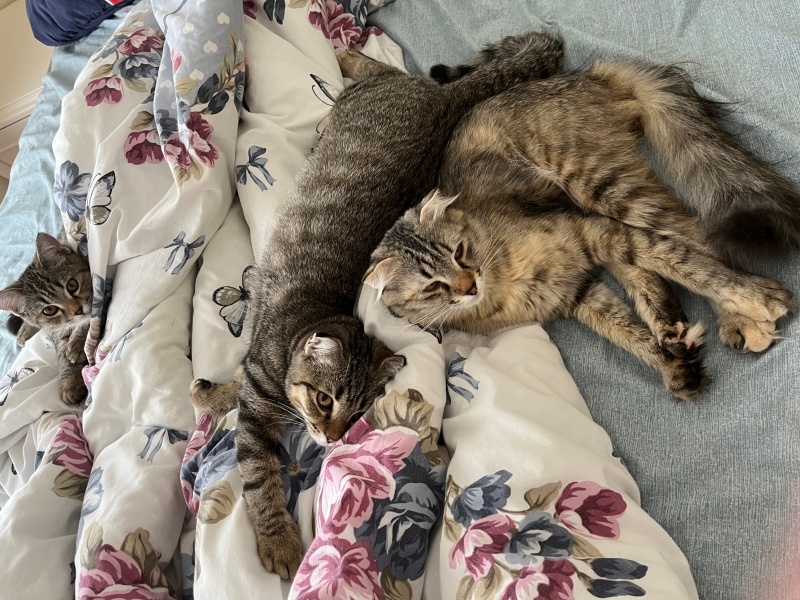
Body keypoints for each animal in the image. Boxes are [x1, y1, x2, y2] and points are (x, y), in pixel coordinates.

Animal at [0, 233, 91, 404]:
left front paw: (78, 343)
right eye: (49, 310)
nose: (78, 311)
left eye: (72, 285)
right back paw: (25, 330)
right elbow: (61, 347)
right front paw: (69, 380)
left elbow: (87, 322)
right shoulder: (59, 327)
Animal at [189, 30, 564, 580]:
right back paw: (348, 58)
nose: (331, 438)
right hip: (367, 99)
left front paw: (212, 394)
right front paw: (278, 540)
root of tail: (443, 102)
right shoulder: (257, 401)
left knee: (392, 72)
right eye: (326, 401)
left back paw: (349, 57)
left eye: (356, 415)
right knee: (387, 73)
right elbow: (259, 477)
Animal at [368, 62, 792, 398]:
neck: (503, 286)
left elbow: (688, 265)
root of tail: (589, 74)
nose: (469, 286)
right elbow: (627, 334)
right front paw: (671, 366)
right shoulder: (578, 293)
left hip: (601, 188)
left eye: (459, 252)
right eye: (432, 288)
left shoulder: (587, 234)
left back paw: (739, 314)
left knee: (695, 237)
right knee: (648, 271)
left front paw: (755, 299)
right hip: (599, 204)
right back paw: (670, 327)